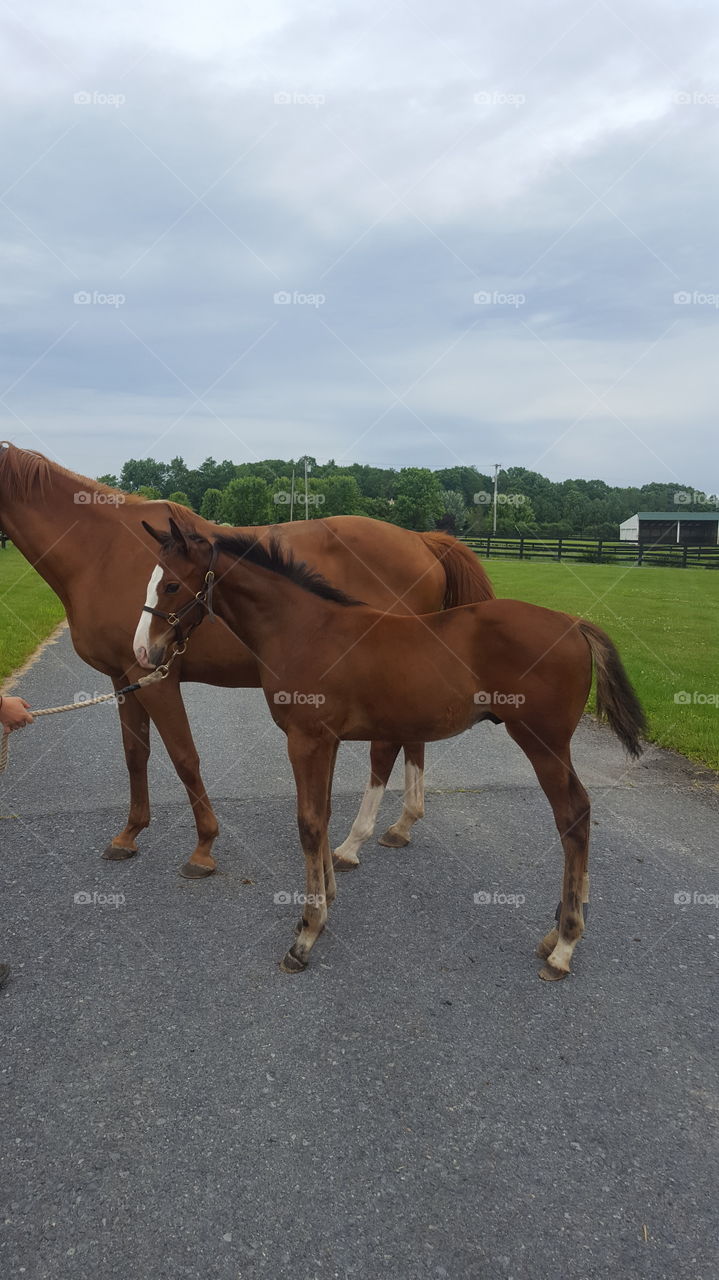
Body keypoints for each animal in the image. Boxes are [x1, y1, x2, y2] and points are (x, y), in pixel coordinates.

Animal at [0, 445, 491, 875]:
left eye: (172, 585)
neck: (100, 550)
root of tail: (422, 541)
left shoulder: (154, 677)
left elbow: (184, 756)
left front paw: (203, 847)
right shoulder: (125, 678)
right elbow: (135, 754)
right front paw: (129, 834)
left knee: (386, 750)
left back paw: (353, 845)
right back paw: (400, 826)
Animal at [134, 519, 644, 977]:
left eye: (172, 585)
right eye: (153, 580)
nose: (143, 652)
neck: (305, 629)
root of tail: (575, 623)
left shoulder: (306, 740)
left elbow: (309, 825)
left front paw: (307, 934)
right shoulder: (326, 741)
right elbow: (323, 817)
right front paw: (325, 902)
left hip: (542, 742)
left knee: (573, 815)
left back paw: (564, 946)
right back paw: (555, 934)